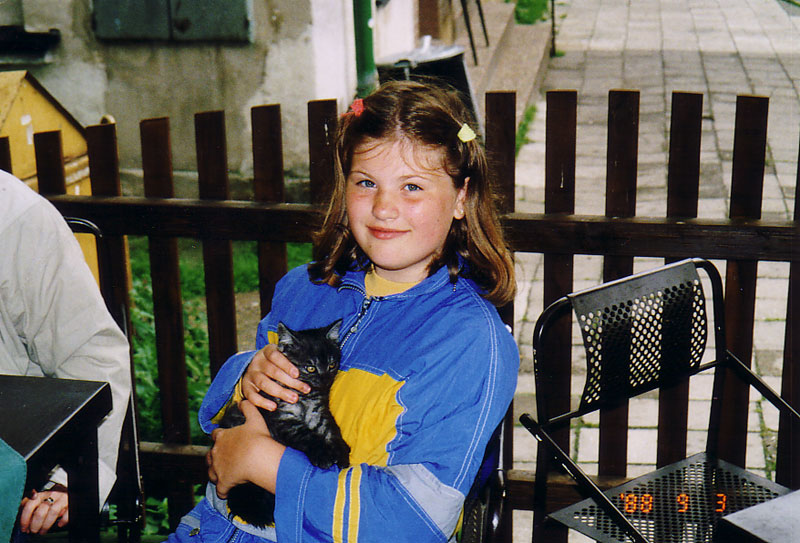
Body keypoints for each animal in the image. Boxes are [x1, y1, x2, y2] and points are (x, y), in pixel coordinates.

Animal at [217, 319, 350, 528]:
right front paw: (323, 455)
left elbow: (331, 429)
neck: (306, 398)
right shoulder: (282, 419)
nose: (325, 379)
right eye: (310, 368)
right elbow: (308, 436)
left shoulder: (319, 412)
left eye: (331, 365)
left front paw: (341, 451)